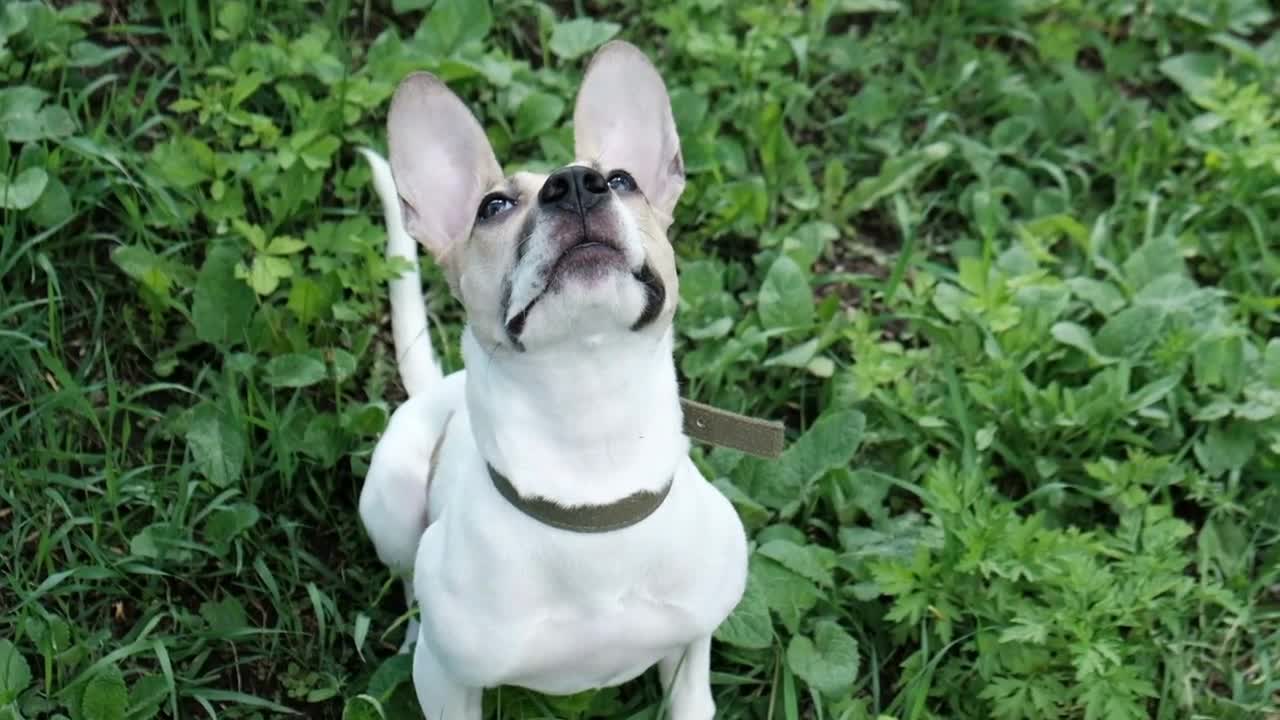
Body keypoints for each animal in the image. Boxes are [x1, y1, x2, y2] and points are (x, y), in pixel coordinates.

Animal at [355, 41, 747, 717]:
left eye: (622, 180)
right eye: (493, 207)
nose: (576, 185)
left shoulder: (691, 649)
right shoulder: (450, 687)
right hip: (390, 502)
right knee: (407, 579)